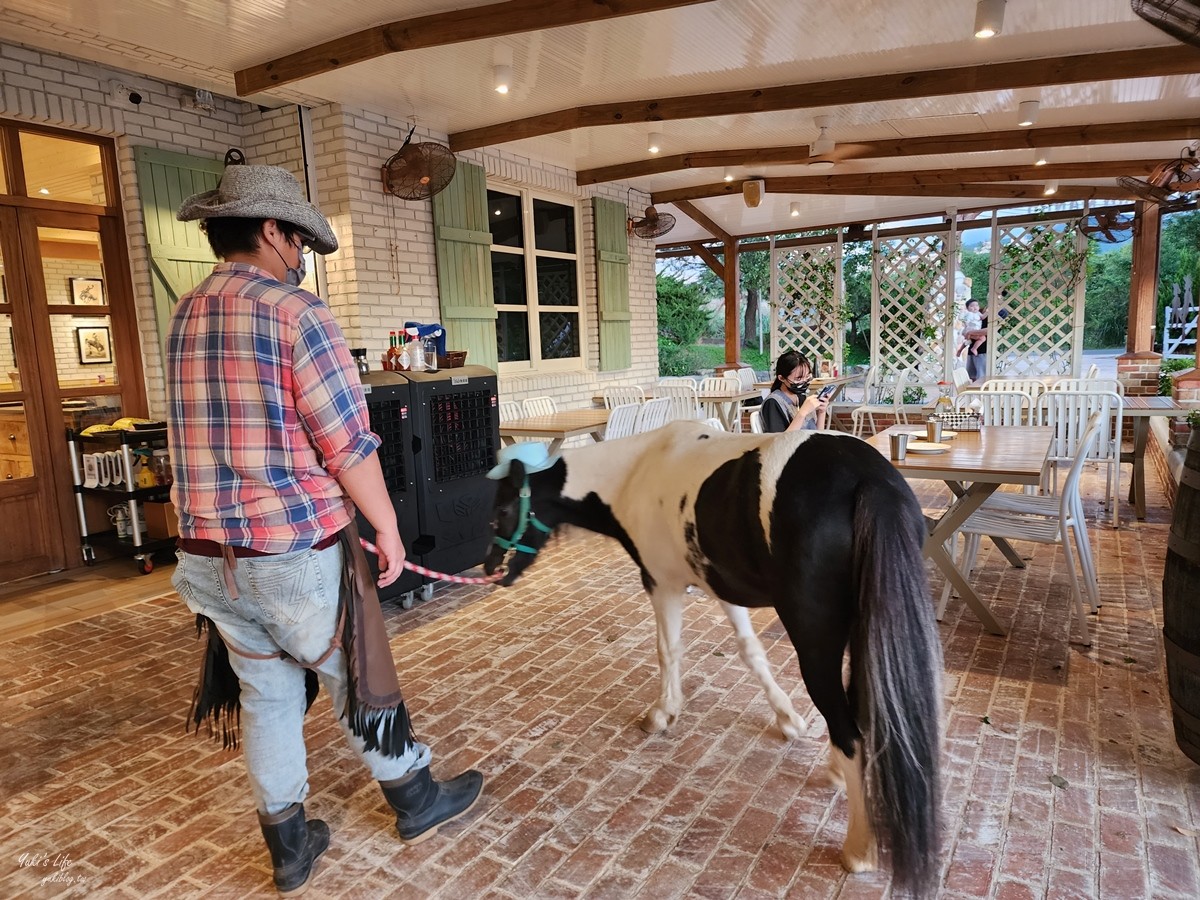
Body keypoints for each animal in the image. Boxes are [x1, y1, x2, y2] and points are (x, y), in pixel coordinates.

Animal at [482, 424, 940, 897]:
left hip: (816, 641)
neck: (634, 472)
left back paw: (860, 848)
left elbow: (668, 649)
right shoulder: (721, 586)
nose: (491, 569)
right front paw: (787, 719)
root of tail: (868, 481)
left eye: (502, 509)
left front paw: (662, 713)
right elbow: (749, 650)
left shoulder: (662, 584)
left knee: (850, 731)